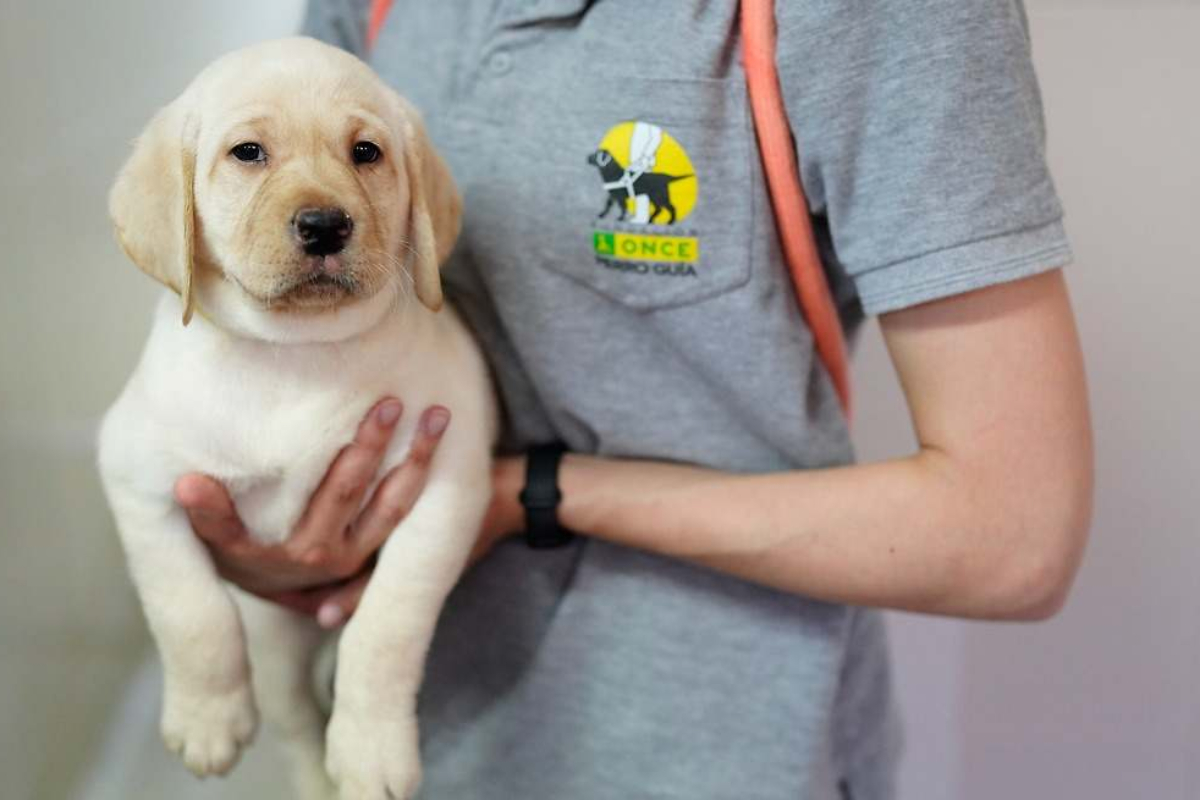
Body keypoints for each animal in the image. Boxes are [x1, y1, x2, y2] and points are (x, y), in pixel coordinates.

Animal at [98, 37, 496, 800]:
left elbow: (387, 627)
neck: (295, 355)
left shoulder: (446, 487)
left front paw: (371, 749)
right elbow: (190, 609)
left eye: (366, 152)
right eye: (248, 152)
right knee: (298, 725)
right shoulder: (136, 476)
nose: (324, 224)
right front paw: (207, 719)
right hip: (277, 647)